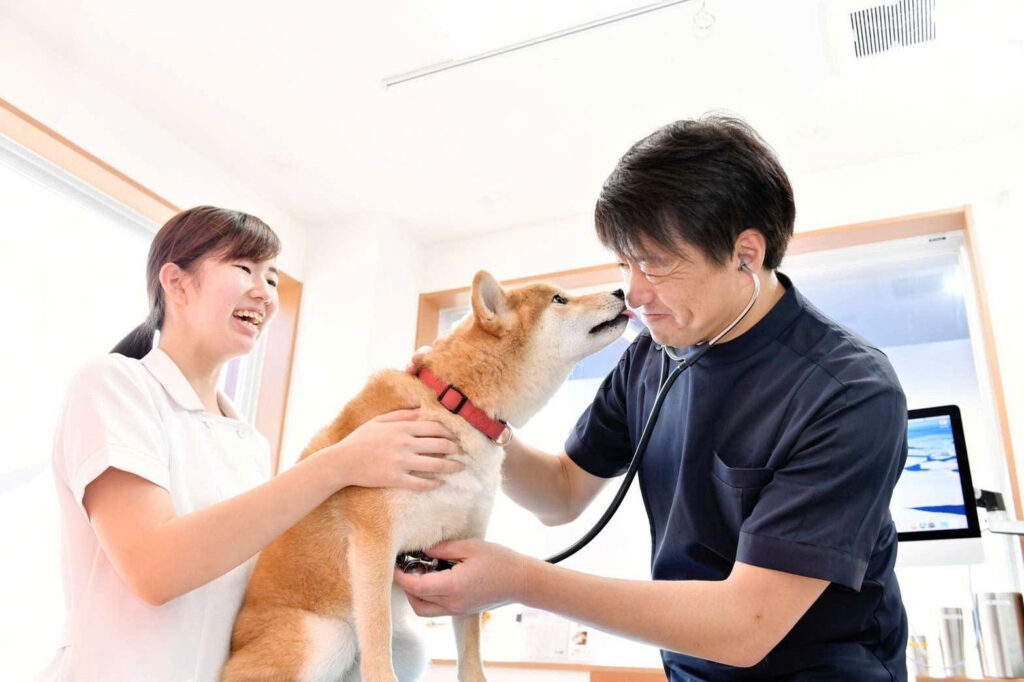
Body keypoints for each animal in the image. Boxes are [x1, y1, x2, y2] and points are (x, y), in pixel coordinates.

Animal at [221, 270, 629, 681]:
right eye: (560, 300)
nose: (621, 291)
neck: (456, 404)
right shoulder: (374, 542)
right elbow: (377, 645)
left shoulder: (464, 542)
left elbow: (470, 653)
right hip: (326, 635)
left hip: (412, 647)